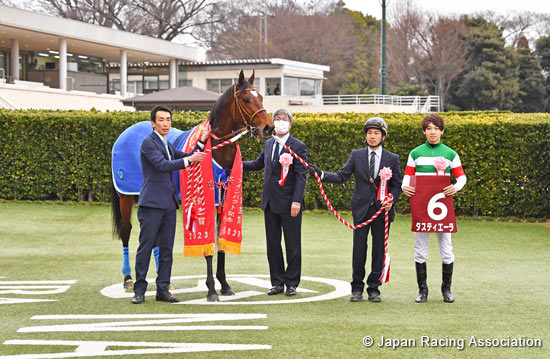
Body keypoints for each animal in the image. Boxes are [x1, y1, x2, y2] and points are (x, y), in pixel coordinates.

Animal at [111, 70, 274, 300]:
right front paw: (212, 289)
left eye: (261, 97)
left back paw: (165, 282)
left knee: (154, 236)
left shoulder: (223, 200)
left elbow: (220, 243)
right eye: (246, 99)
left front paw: (224, 284)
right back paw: (127, 279)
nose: (268, 128)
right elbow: (207, 245)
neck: (217, 149)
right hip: (125, 196)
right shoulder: (205, 201)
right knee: (127, 231)